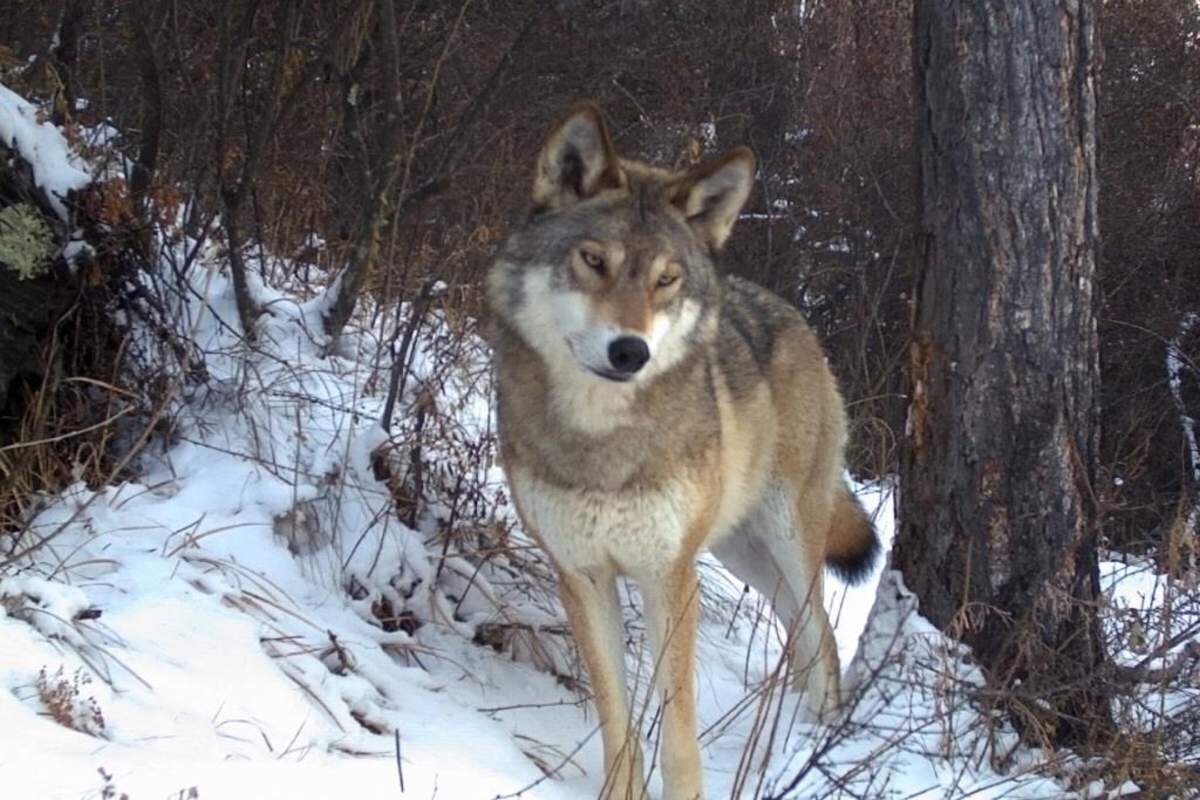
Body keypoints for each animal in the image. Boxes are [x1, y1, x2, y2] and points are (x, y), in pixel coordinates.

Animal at [487, 103, 883, 796]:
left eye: (666, 280)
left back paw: (811, 743)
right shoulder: (584, 576)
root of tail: (794, 315)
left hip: (785, 539)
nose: (630, 351)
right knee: (803, 632)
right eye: (594, 260)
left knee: (822, 635)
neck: (602, 444)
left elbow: (676, 737)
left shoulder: (669, 577)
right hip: (741, 552)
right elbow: (619, 724)